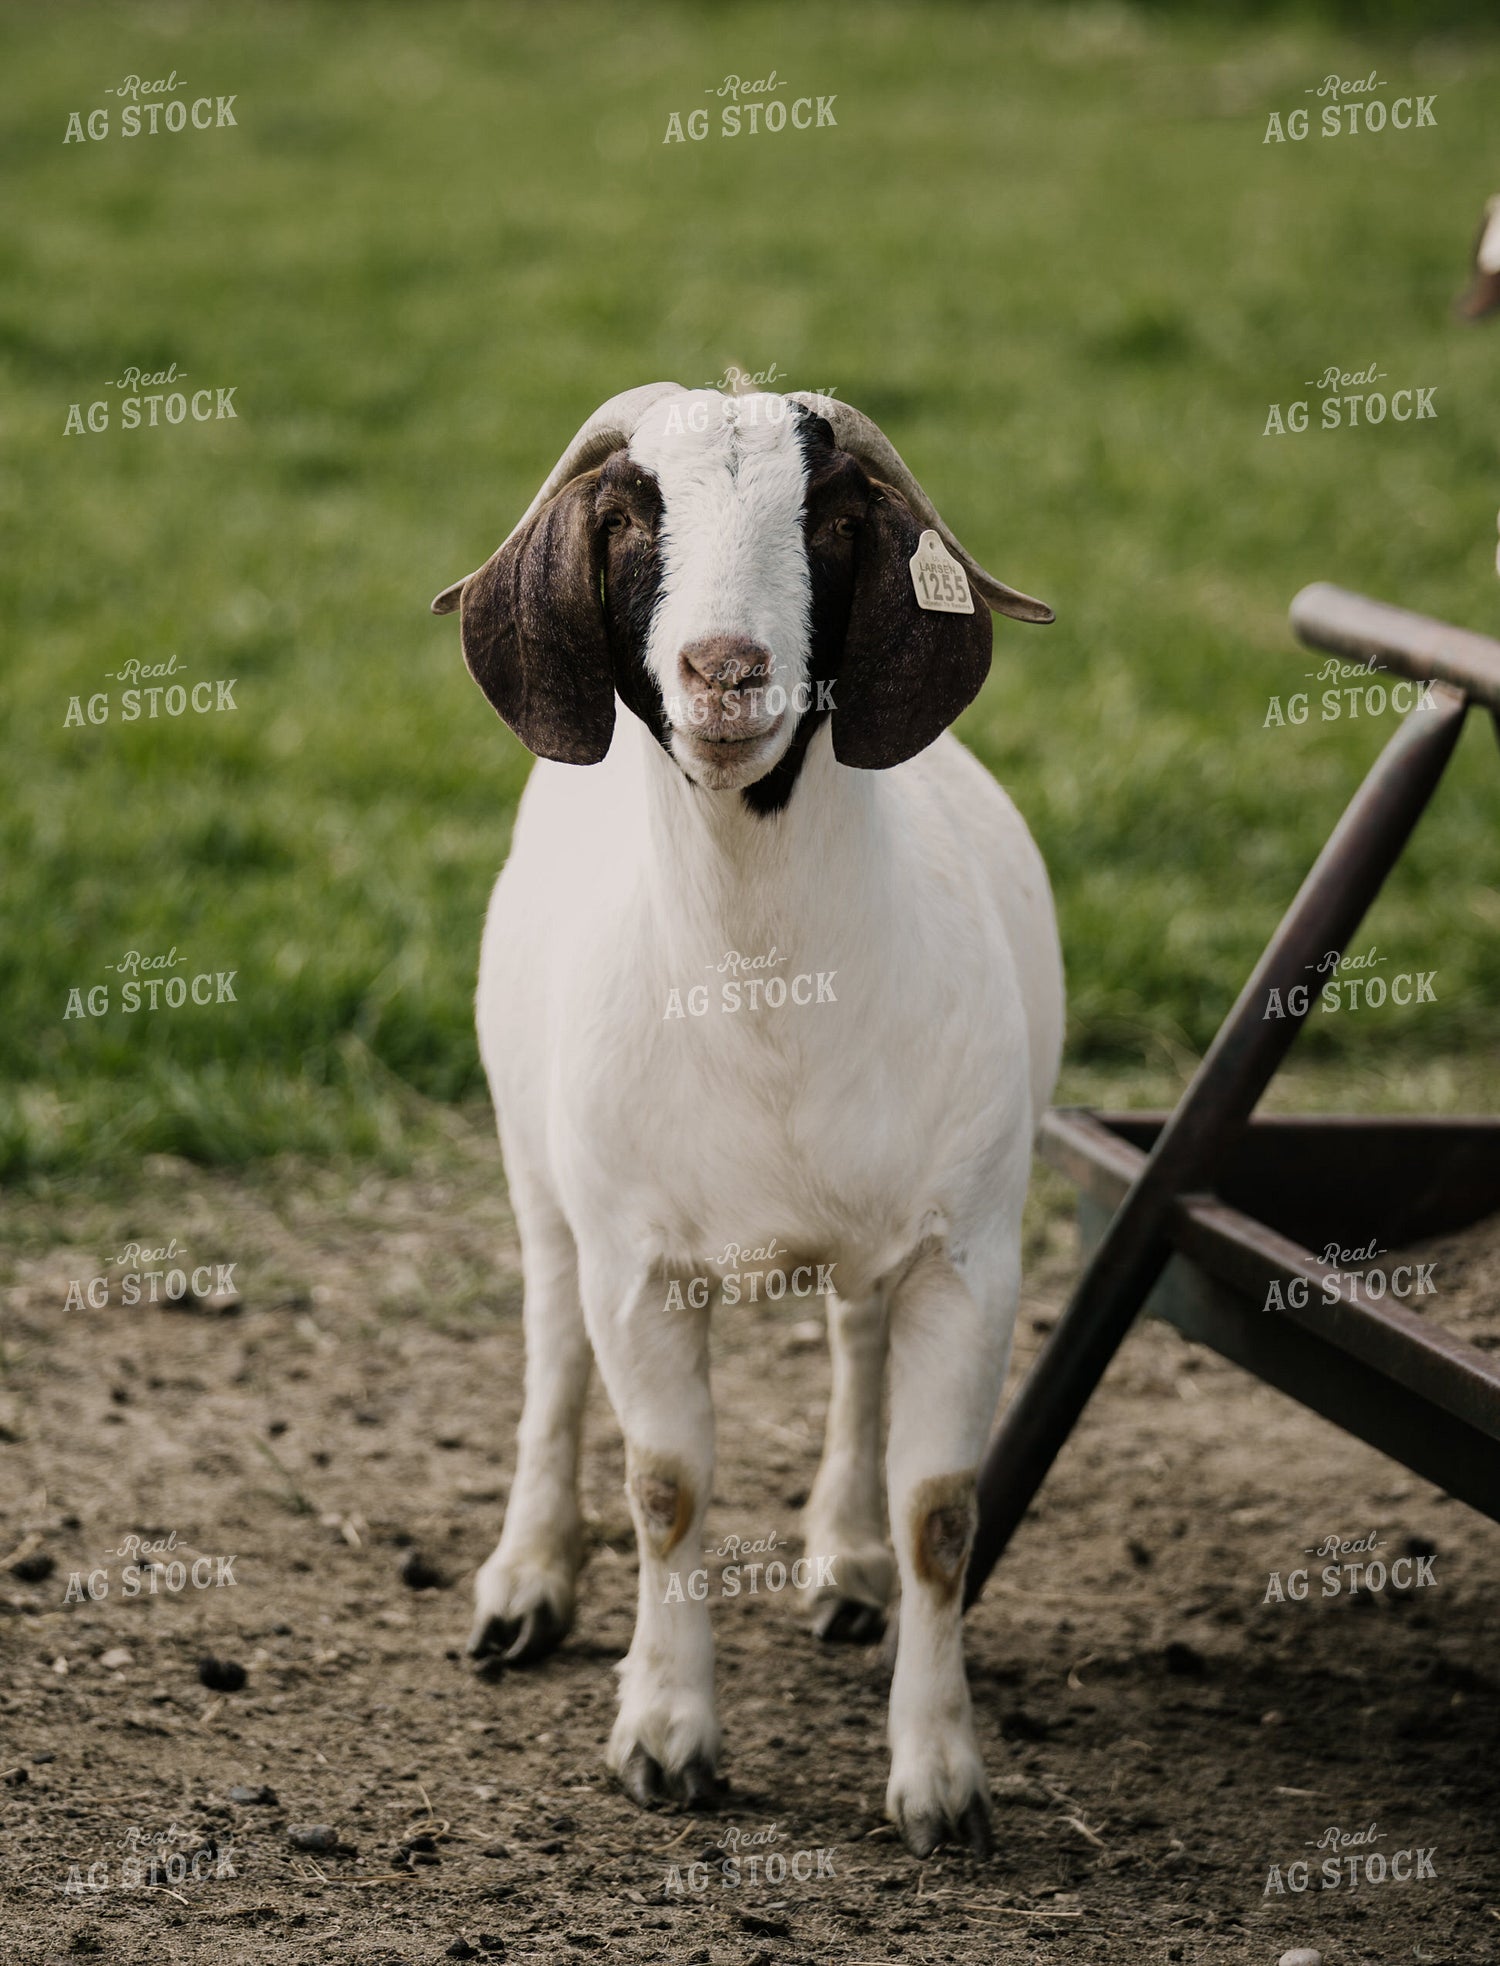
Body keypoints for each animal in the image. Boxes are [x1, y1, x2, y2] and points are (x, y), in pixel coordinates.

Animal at [431, 383, 1064, 1857]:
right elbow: (666, 1489)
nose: (726, 668)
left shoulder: (971, 1255)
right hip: (538, 1169)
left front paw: (940, 1777)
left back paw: (844, 1556)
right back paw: (525, 1581)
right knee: (551, 1344)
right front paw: (665, 1738)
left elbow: (942, 1514)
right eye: (626, 515)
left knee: (854, 1339)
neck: (767, 993)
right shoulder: (641, 1264)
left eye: (828, 517)